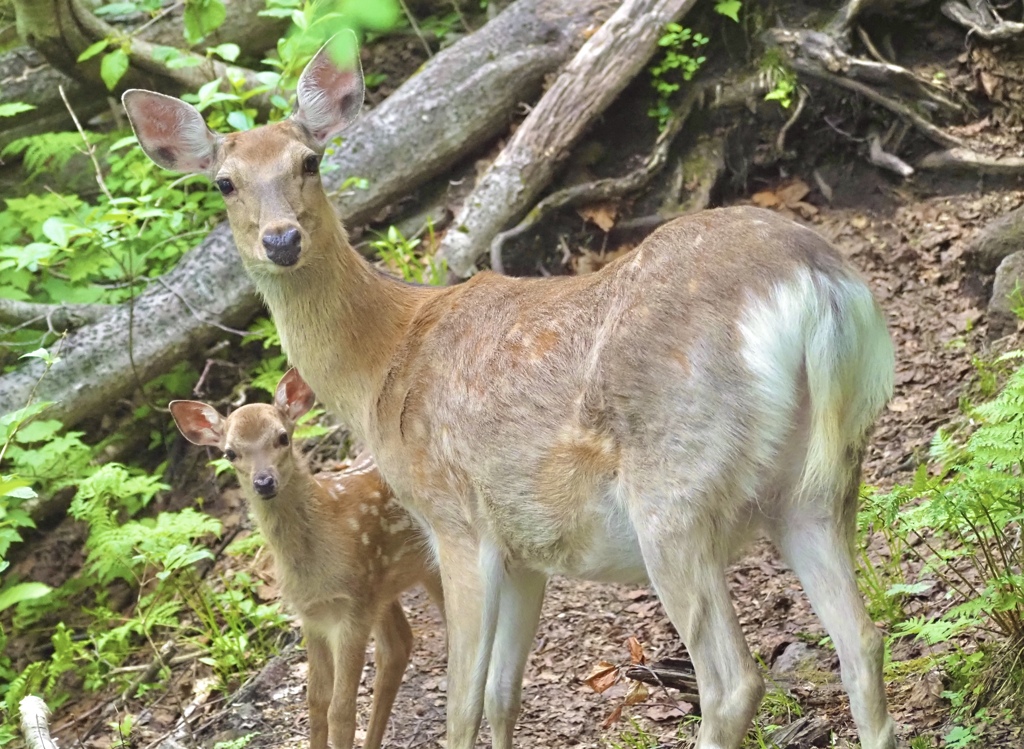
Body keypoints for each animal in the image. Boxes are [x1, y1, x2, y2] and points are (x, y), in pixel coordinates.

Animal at [169, 370, 442, 749]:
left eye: (282, 437)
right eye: (230, 453)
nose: (264, 481)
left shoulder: (353, 609)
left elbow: (340, 710)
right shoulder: (313, 616)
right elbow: (316, 702)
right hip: (384, 588)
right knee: (397, 646)